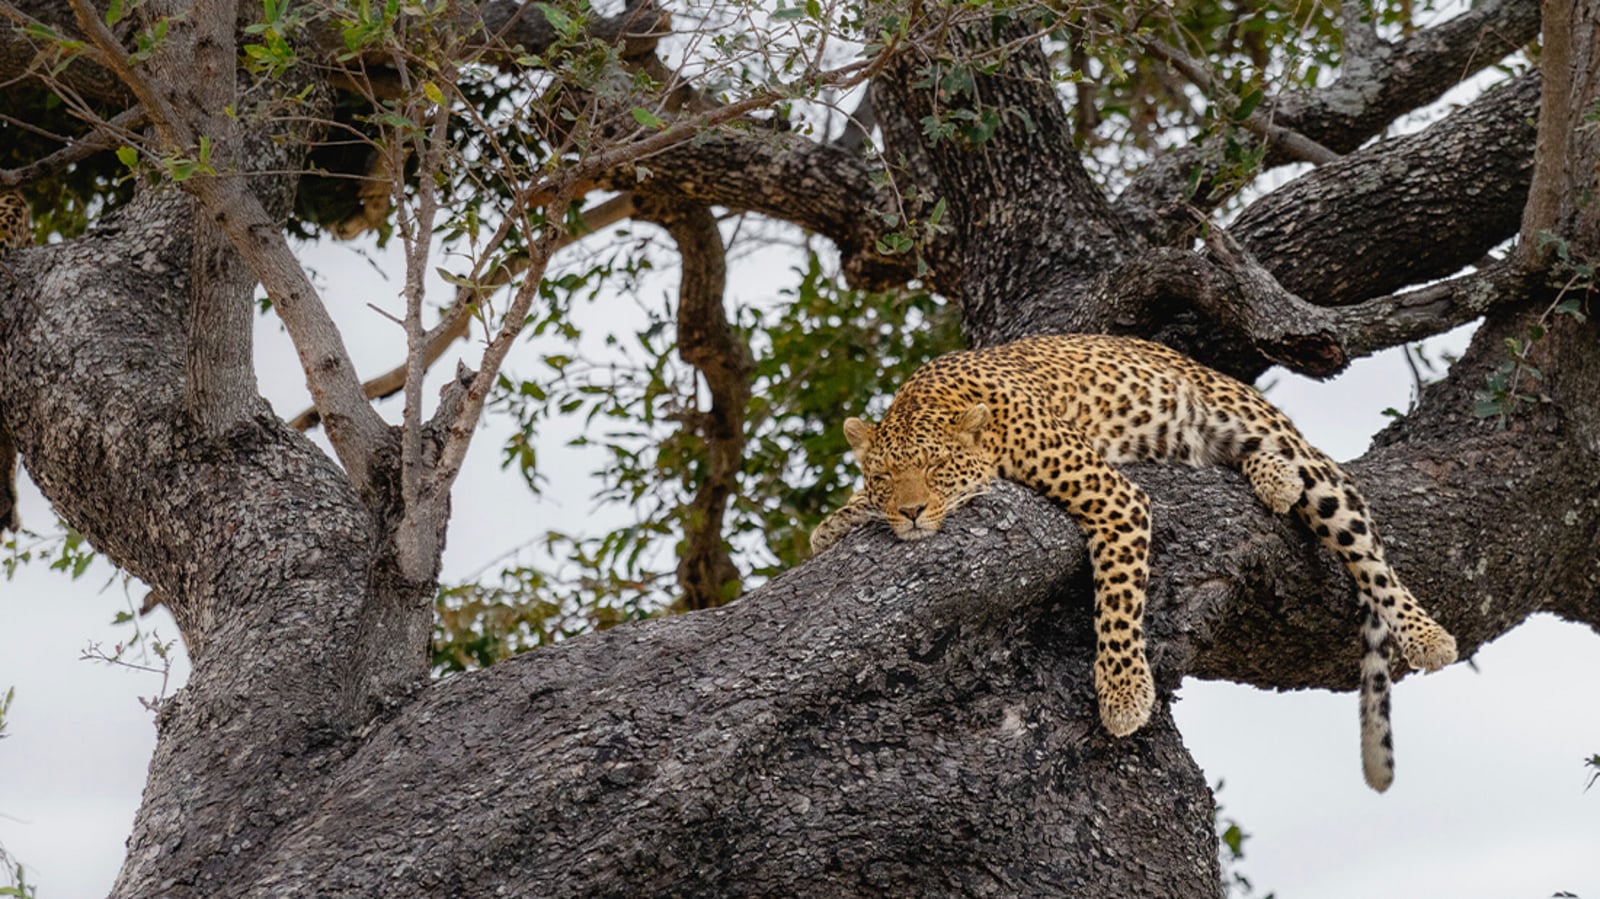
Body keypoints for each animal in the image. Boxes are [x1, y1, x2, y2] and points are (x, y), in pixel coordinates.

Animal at [810, 333, 1458, 792]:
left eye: (936, 469)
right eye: (885, 476)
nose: (912, 512)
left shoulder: (1113, 497)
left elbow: (1117, 603)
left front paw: (1123, 694)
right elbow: (849, 512)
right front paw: (836, 522)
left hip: (1271, 433)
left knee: (1364, 547)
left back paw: (1426, 635)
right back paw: (1275, 481)